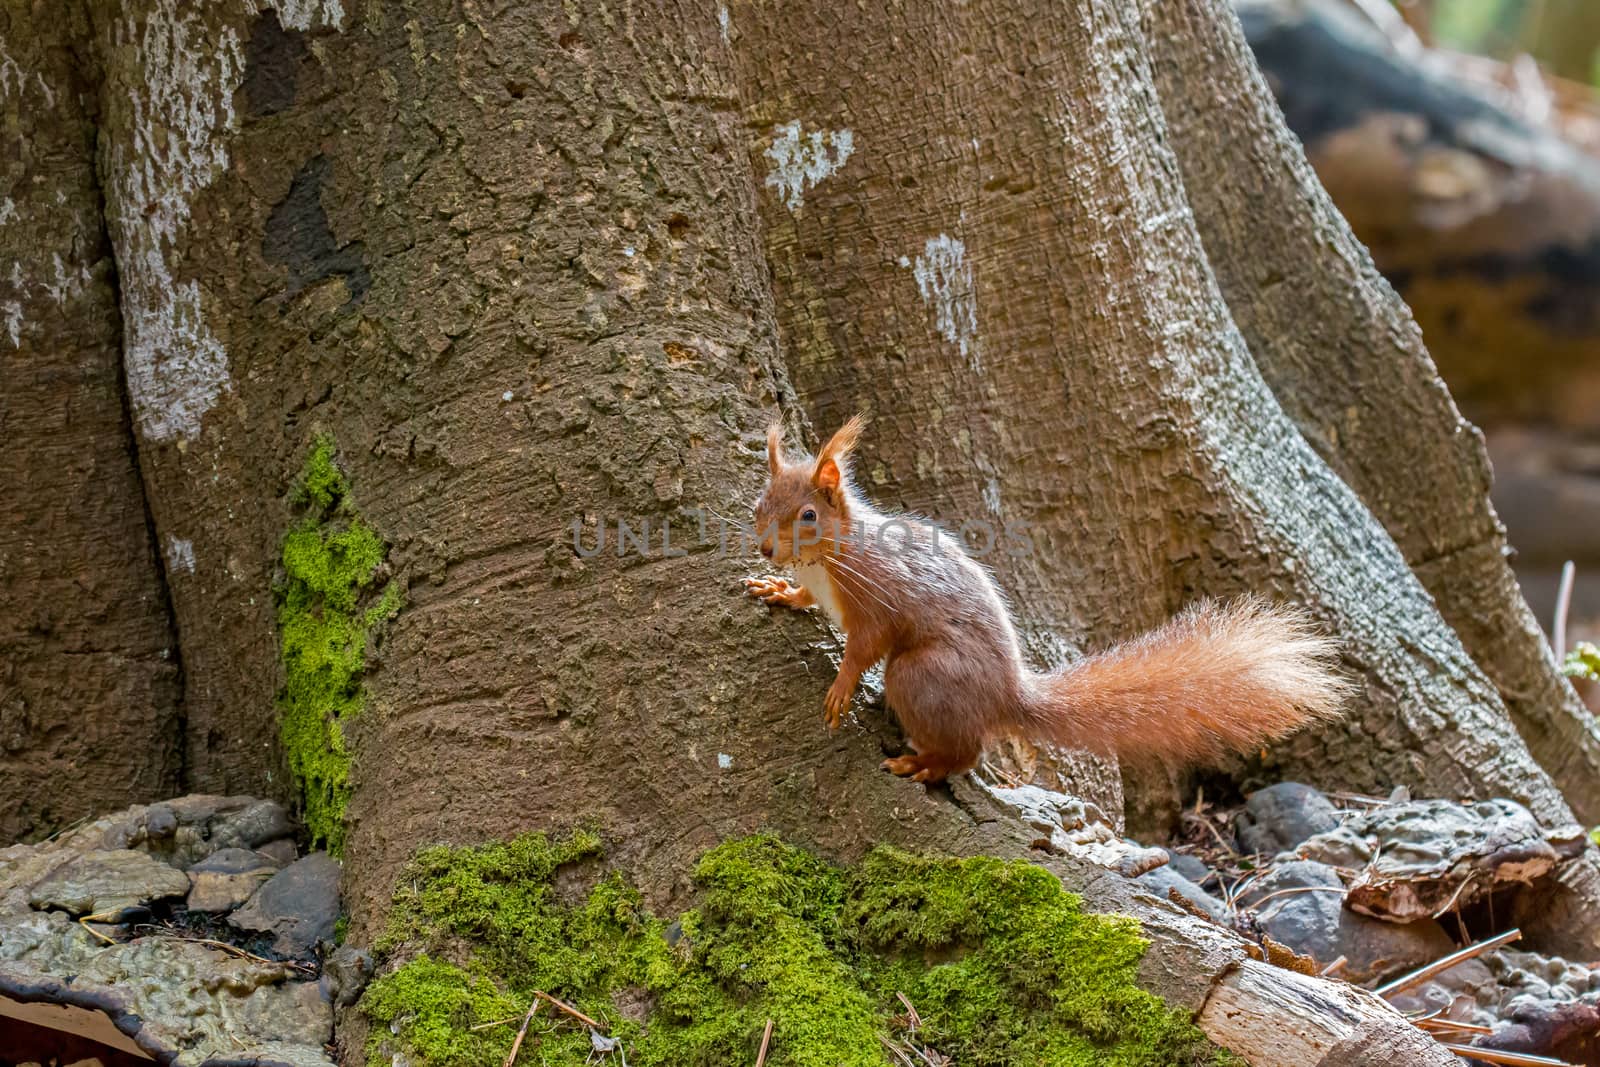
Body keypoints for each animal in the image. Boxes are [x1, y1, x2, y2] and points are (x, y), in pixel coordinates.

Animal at [742, 415, 1344, 783]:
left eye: (809, 515)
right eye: (759, 503)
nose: (767, 549)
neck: (832, 558)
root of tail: (1008, 697)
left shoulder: (879, 595)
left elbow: (866, 645)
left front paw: (842, 686)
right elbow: (805, 595)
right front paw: (781, 591)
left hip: (925, 675)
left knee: (964, 749)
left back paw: (927, 765)